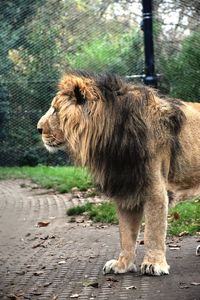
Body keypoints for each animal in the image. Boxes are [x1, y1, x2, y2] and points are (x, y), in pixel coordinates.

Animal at [37, 71, 200, 276]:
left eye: (56, 110)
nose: (38, 129)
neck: (111, 140)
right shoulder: (125, 188)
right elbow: (126, 234)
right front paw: (122, 264)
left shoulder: (155, 189)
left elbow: (153, 231)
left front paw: (153, 263)